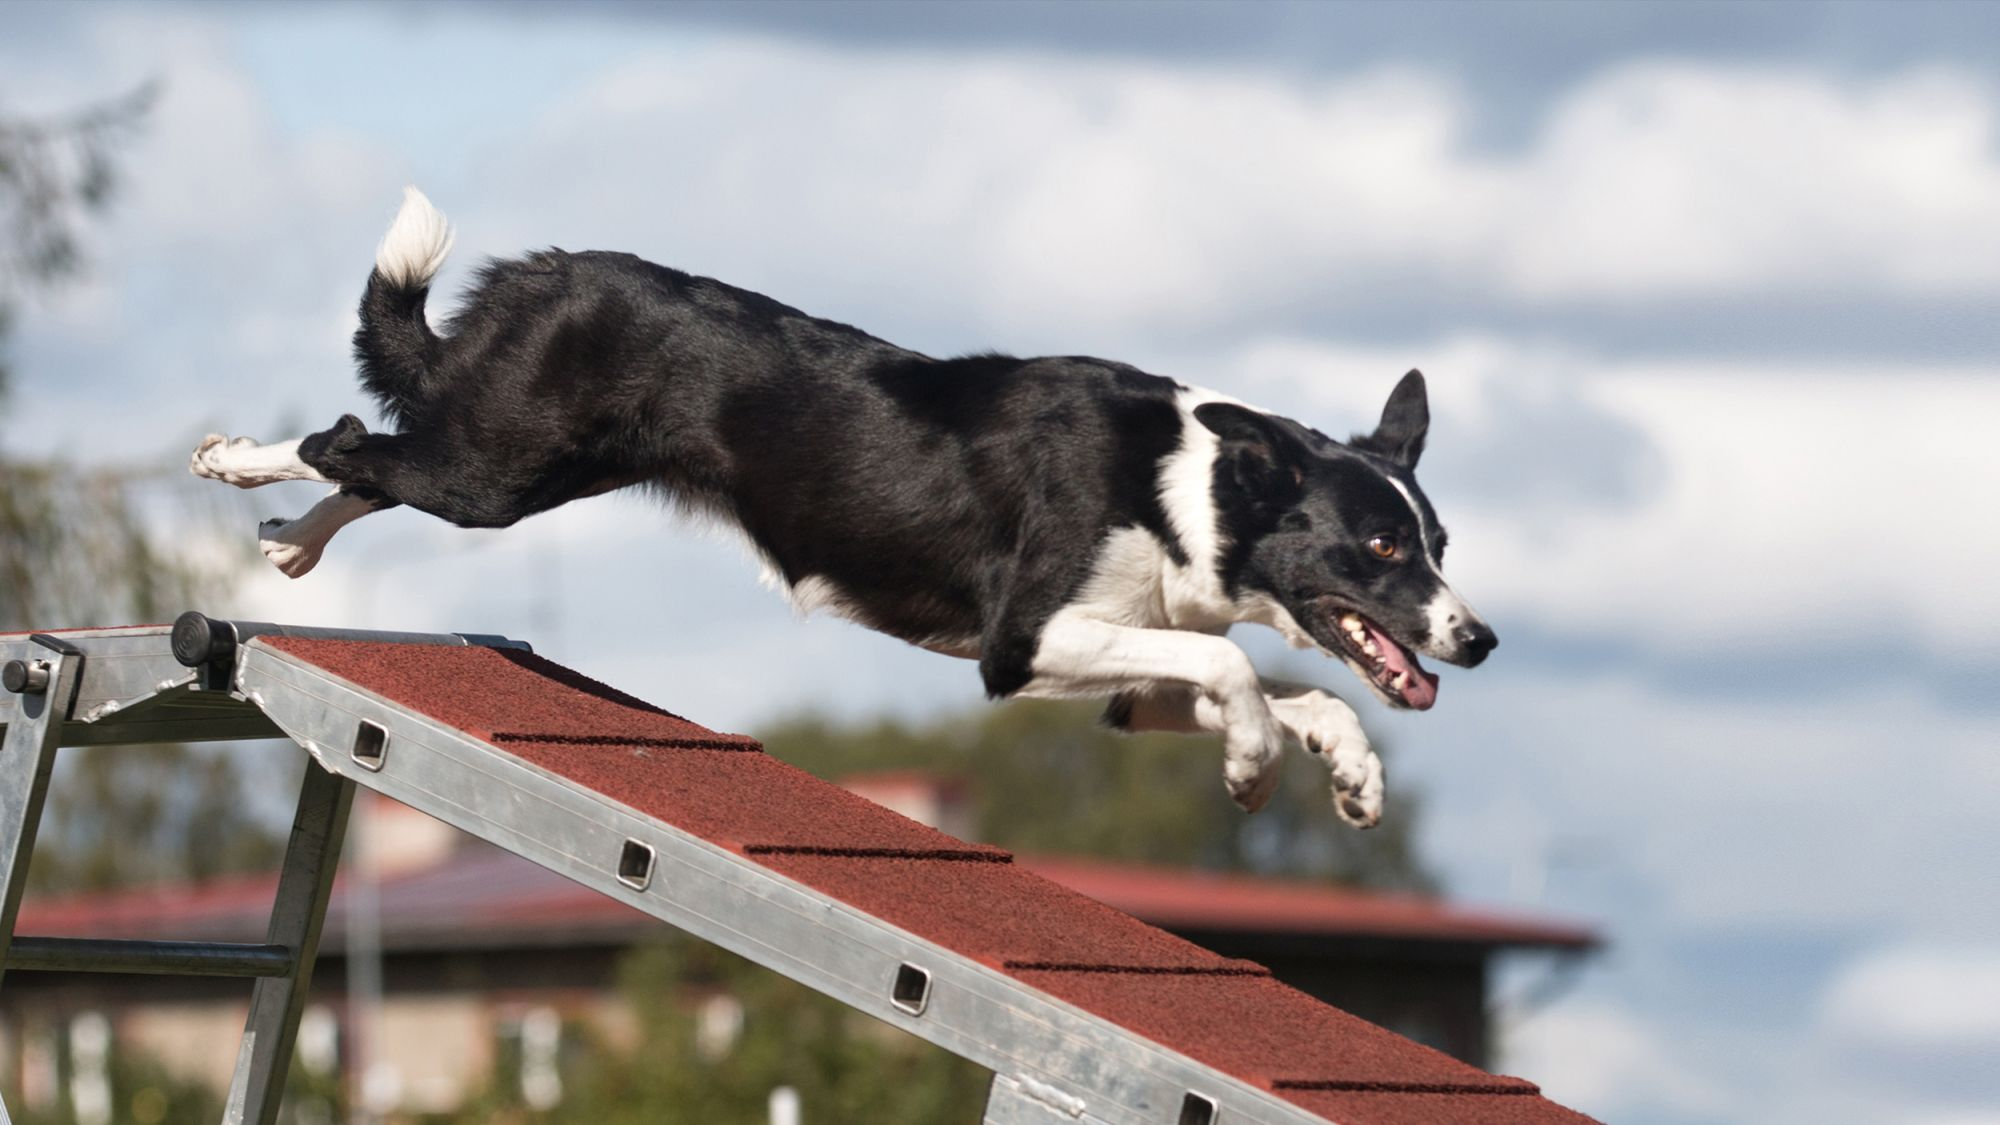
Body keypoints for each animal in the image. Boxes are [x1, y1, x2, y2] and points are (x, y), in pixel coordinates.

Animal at [195, 190, 1496, 824]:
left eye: (1436, 542)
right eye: (1380, 544)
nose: (1478, 639)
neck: (1182, 482)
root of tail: (546, 269)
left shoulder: (1128, 669)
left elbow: (1300, 693)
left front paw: (1342, 776)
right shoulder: (1024, 643)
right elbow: (1240, 675)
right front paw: (1252, 772)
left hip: (518, 468)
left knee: (369, 459)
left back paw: (291, 548)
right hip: (494, 475)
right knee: (347, 440)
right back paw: (235, 464)